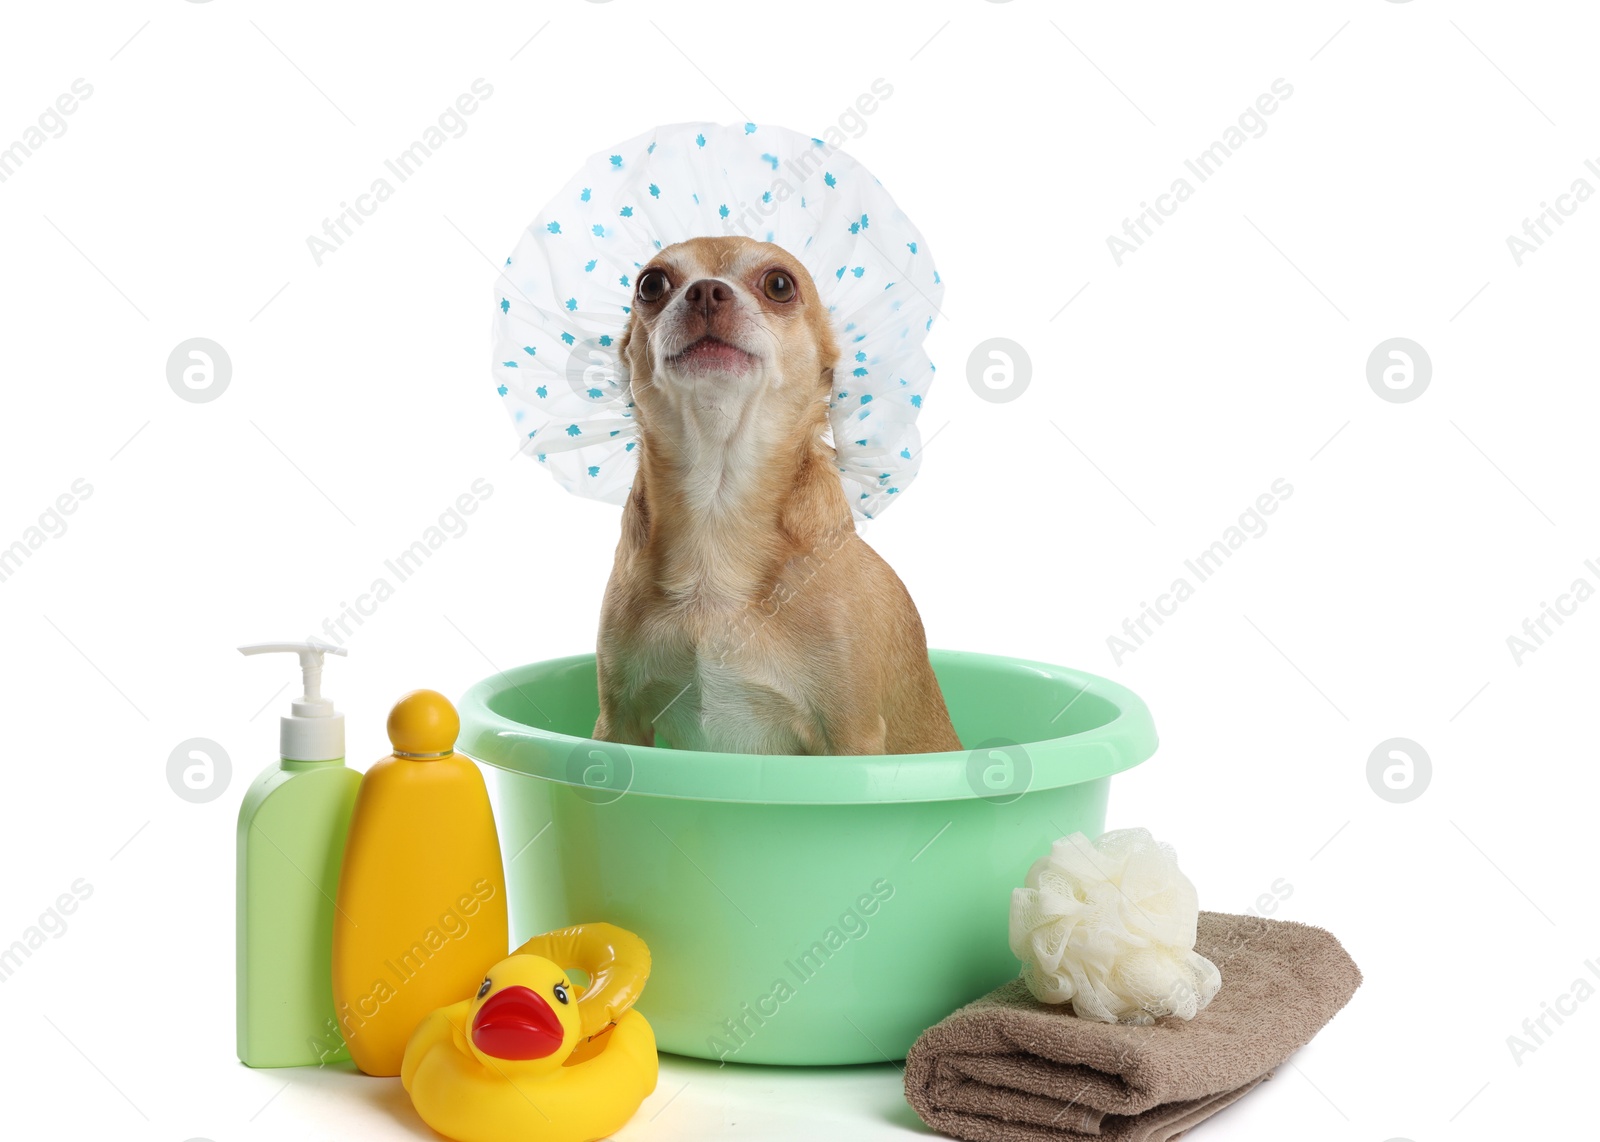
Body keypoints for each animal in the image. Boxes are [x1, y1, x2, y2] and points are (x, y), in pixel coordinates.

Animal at [592, 235, 953, 751]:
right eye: (652, 284)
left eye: (779, 285)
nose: (706, 291)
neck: (717, 502)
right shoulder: (617, 723)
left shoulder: (851, 736)